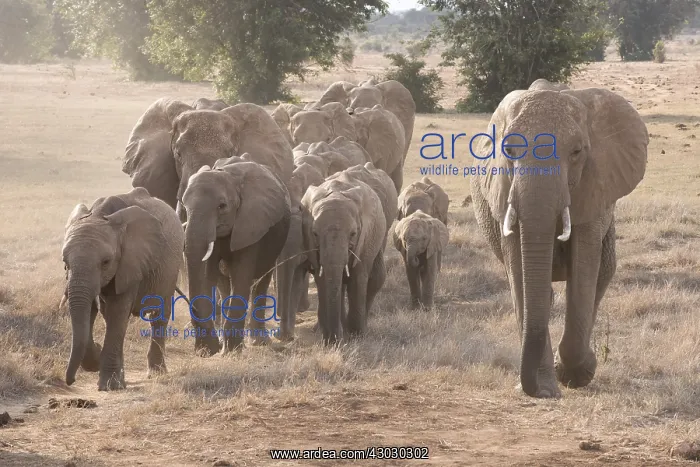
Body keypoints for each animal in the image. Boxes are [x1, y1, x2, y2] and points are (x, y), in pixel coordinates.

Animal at [61, 187, 184, 390]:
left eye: (106, 262)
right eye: (65, 263)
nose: (70, 381)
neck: (99, 213)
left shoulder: (130, 262)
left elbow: (117, 311)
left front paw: (109, 385)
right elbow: (94, 311)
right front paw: (98, 360)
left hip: (171, 268)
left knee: (159, 316)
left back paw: (156, 373)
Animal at [181, 158, 291, 354]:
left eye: (222, 206)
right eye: (185, 206)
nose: (211, 349)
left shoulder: (251, 224)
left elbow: (241, 275)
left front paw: (231, 351)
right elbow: (207, 274)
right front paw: (210, 350)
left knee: (261, 282)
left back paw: (258, 342)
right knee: (224, 285)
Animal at [301, 162, 394, 343]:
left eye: (353, 234)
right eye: (315, 233)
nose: (334, 340)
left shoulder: (365, 238)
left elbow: (358, 276)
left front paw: (356, 335)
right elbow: (323, 278)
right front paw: (329, 337)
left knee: (375, 277)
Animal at [470, 88, 648, 398]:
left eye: (577, 152)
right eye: (509, 152)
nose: (536, 391)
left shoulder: (594, 188)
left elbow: (584, 270)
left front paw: (575, 375)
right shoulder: (503, 193)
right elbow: (519, 275)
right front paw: (546, 389)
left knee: (603, 274)